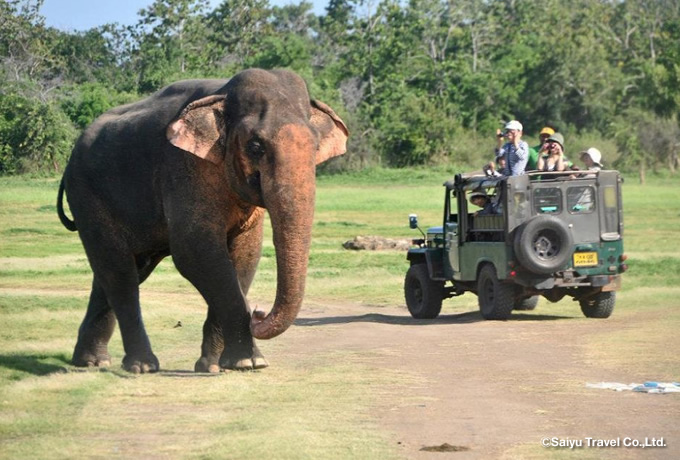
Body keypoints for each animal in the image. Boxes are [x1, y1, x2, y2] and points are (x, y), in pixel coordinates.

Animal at [55, 70, 348, 376]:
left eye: (316, 146)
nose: (258, 313)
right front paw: (250, 362)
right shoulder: (183, 167)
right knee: (120, 272)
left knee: (119, 271)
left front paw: (215, 366)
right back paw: (142, 366)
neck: (222, 93)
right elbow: (195, 252)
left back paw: (91, 361)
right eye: (256, 146)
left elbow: (246, 256)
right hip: (88, 197)